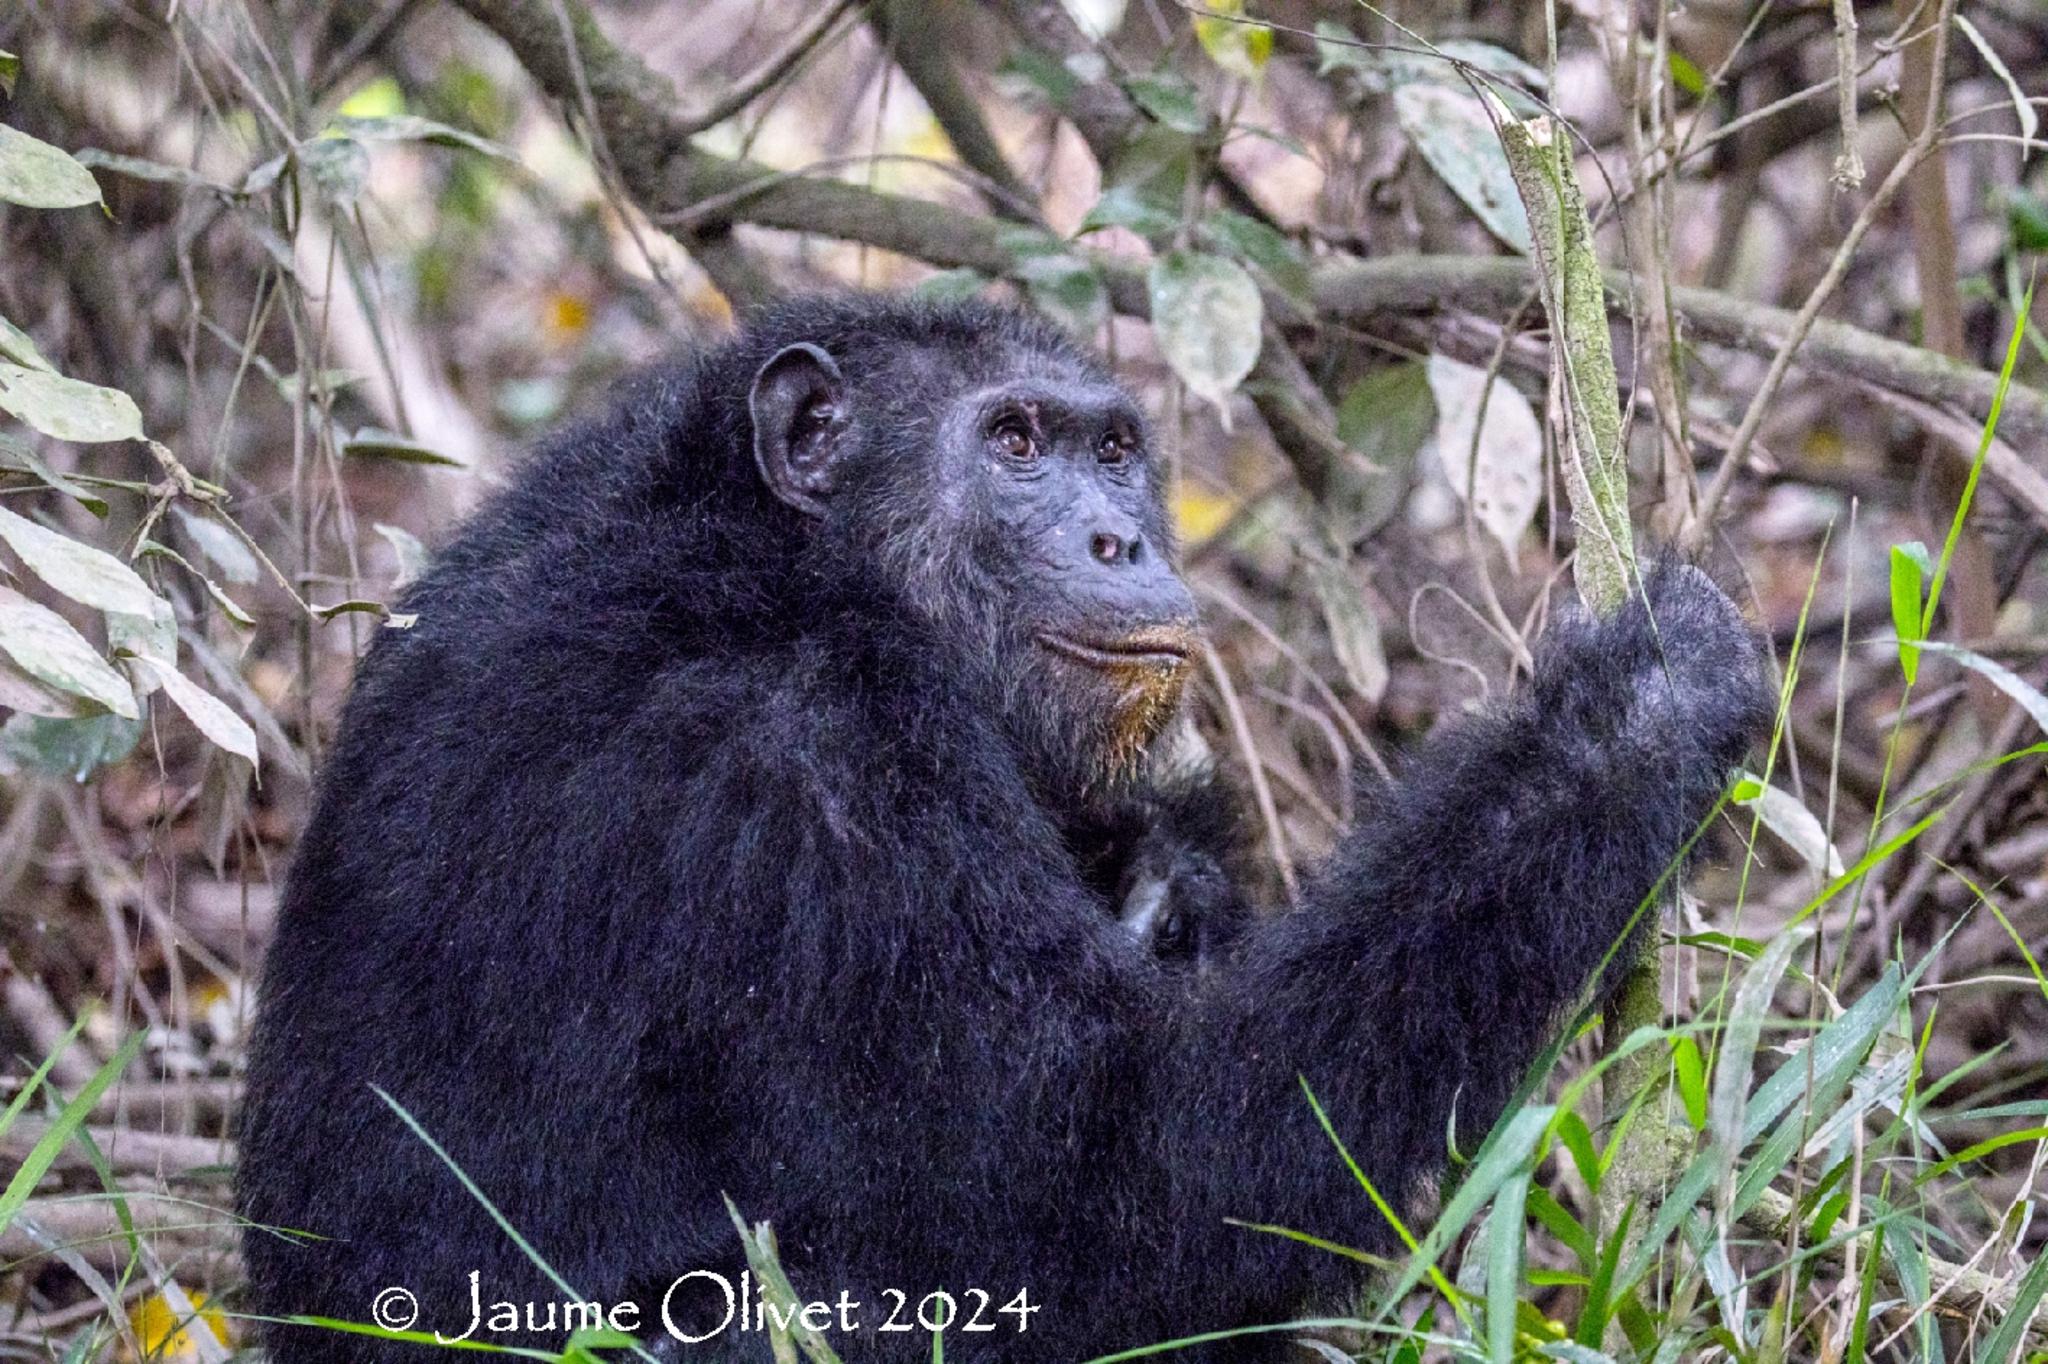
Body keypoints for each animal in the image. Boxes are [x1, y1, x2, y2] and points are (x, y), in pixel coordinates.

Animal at [235, 294, 1777, 1359]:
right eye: (1016, 443)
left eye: (1115, 451)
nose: (1122, 536)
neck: (795, 560)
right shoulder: (818, 768)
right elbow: (1105, 1183)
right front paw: (1638, 710)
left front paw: (1169, 876)